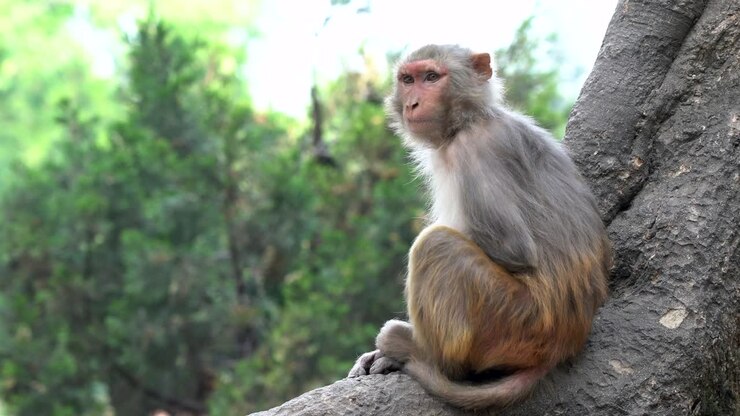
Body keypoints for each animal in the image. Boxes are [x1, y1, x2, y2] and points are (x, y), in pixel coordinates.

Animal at [348, 44, 611, 410]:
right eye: (408, 80)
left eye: (432, 77)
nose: (412, 103)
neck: (468, 121)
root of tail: (564, 342)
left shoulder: (474, 150)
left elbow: (513, 249)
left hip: (511, 320)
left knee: (436, 245)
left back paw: (423, 354)